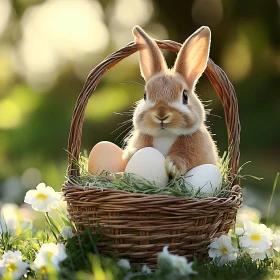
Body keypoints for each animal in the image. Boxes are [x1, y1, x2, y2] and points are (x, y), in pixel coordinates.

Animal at [122, 25, 219, 176]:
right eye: (145, 95)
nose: (161, 114)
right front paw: (130, 154)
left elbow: (184, 157)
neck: (165, 135)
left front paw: (172, 166)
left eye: (185, 96)